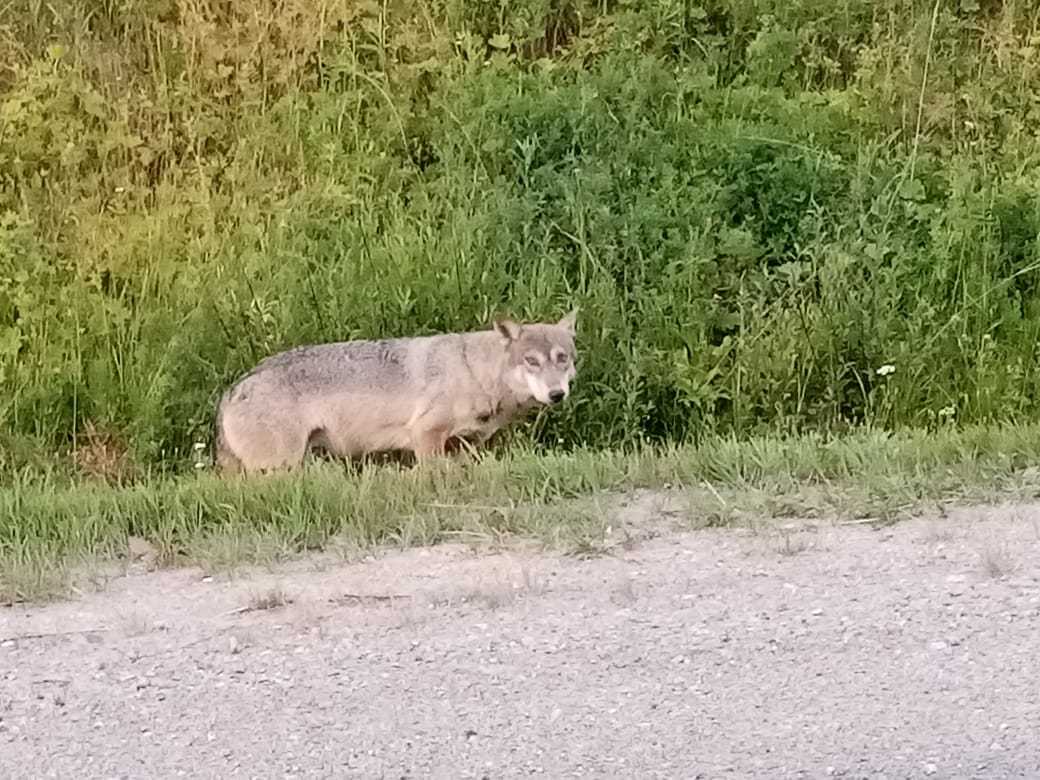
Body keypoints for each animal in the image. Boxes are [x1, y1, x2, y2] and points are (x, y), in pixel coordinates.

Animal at [215, 312, 582, 476]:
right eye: (531, 361)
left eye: (562, 358)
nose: (556, 394)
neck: (473, 371)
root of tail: (232, 390)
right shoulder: (425, 435)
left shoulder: (464, 446)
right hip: (281, 467)